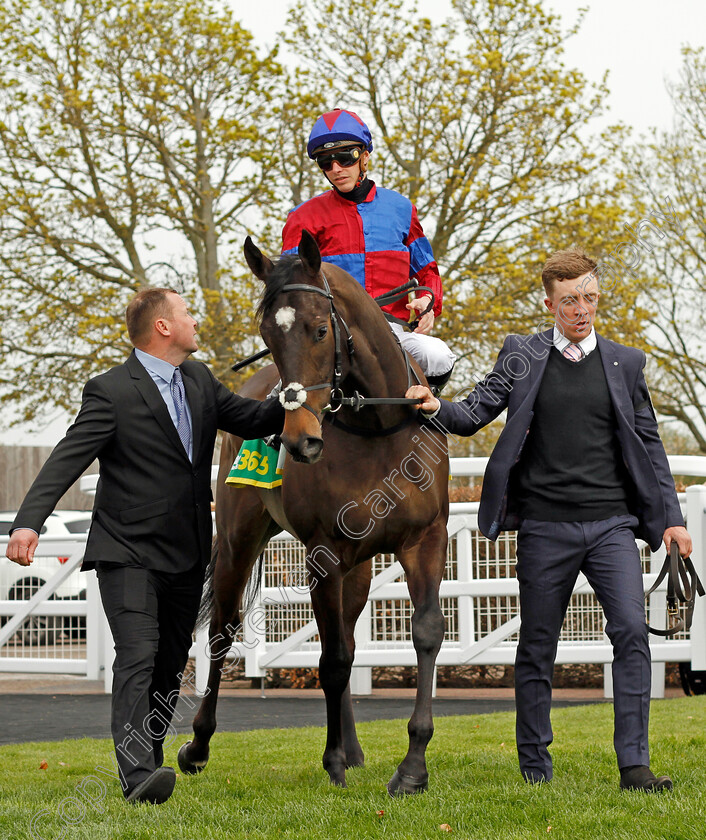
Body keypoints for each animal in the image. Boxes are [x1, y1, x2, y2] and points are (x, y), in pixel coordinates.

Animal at [179, 230, 448, 796]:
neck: (378, 429)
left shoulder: (424, 539)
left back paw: (356, 747)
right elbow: (332, 659)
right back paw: (197, 745)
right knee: (222, 630)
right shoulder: (325, 552)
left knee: (344, 632)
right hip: (238, 539)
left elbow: (425, 633)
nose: (300, 439)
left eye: (321, 329)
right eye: (267, 332)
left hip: (361, 568)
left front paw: (412, 765)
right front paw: (333, 761)